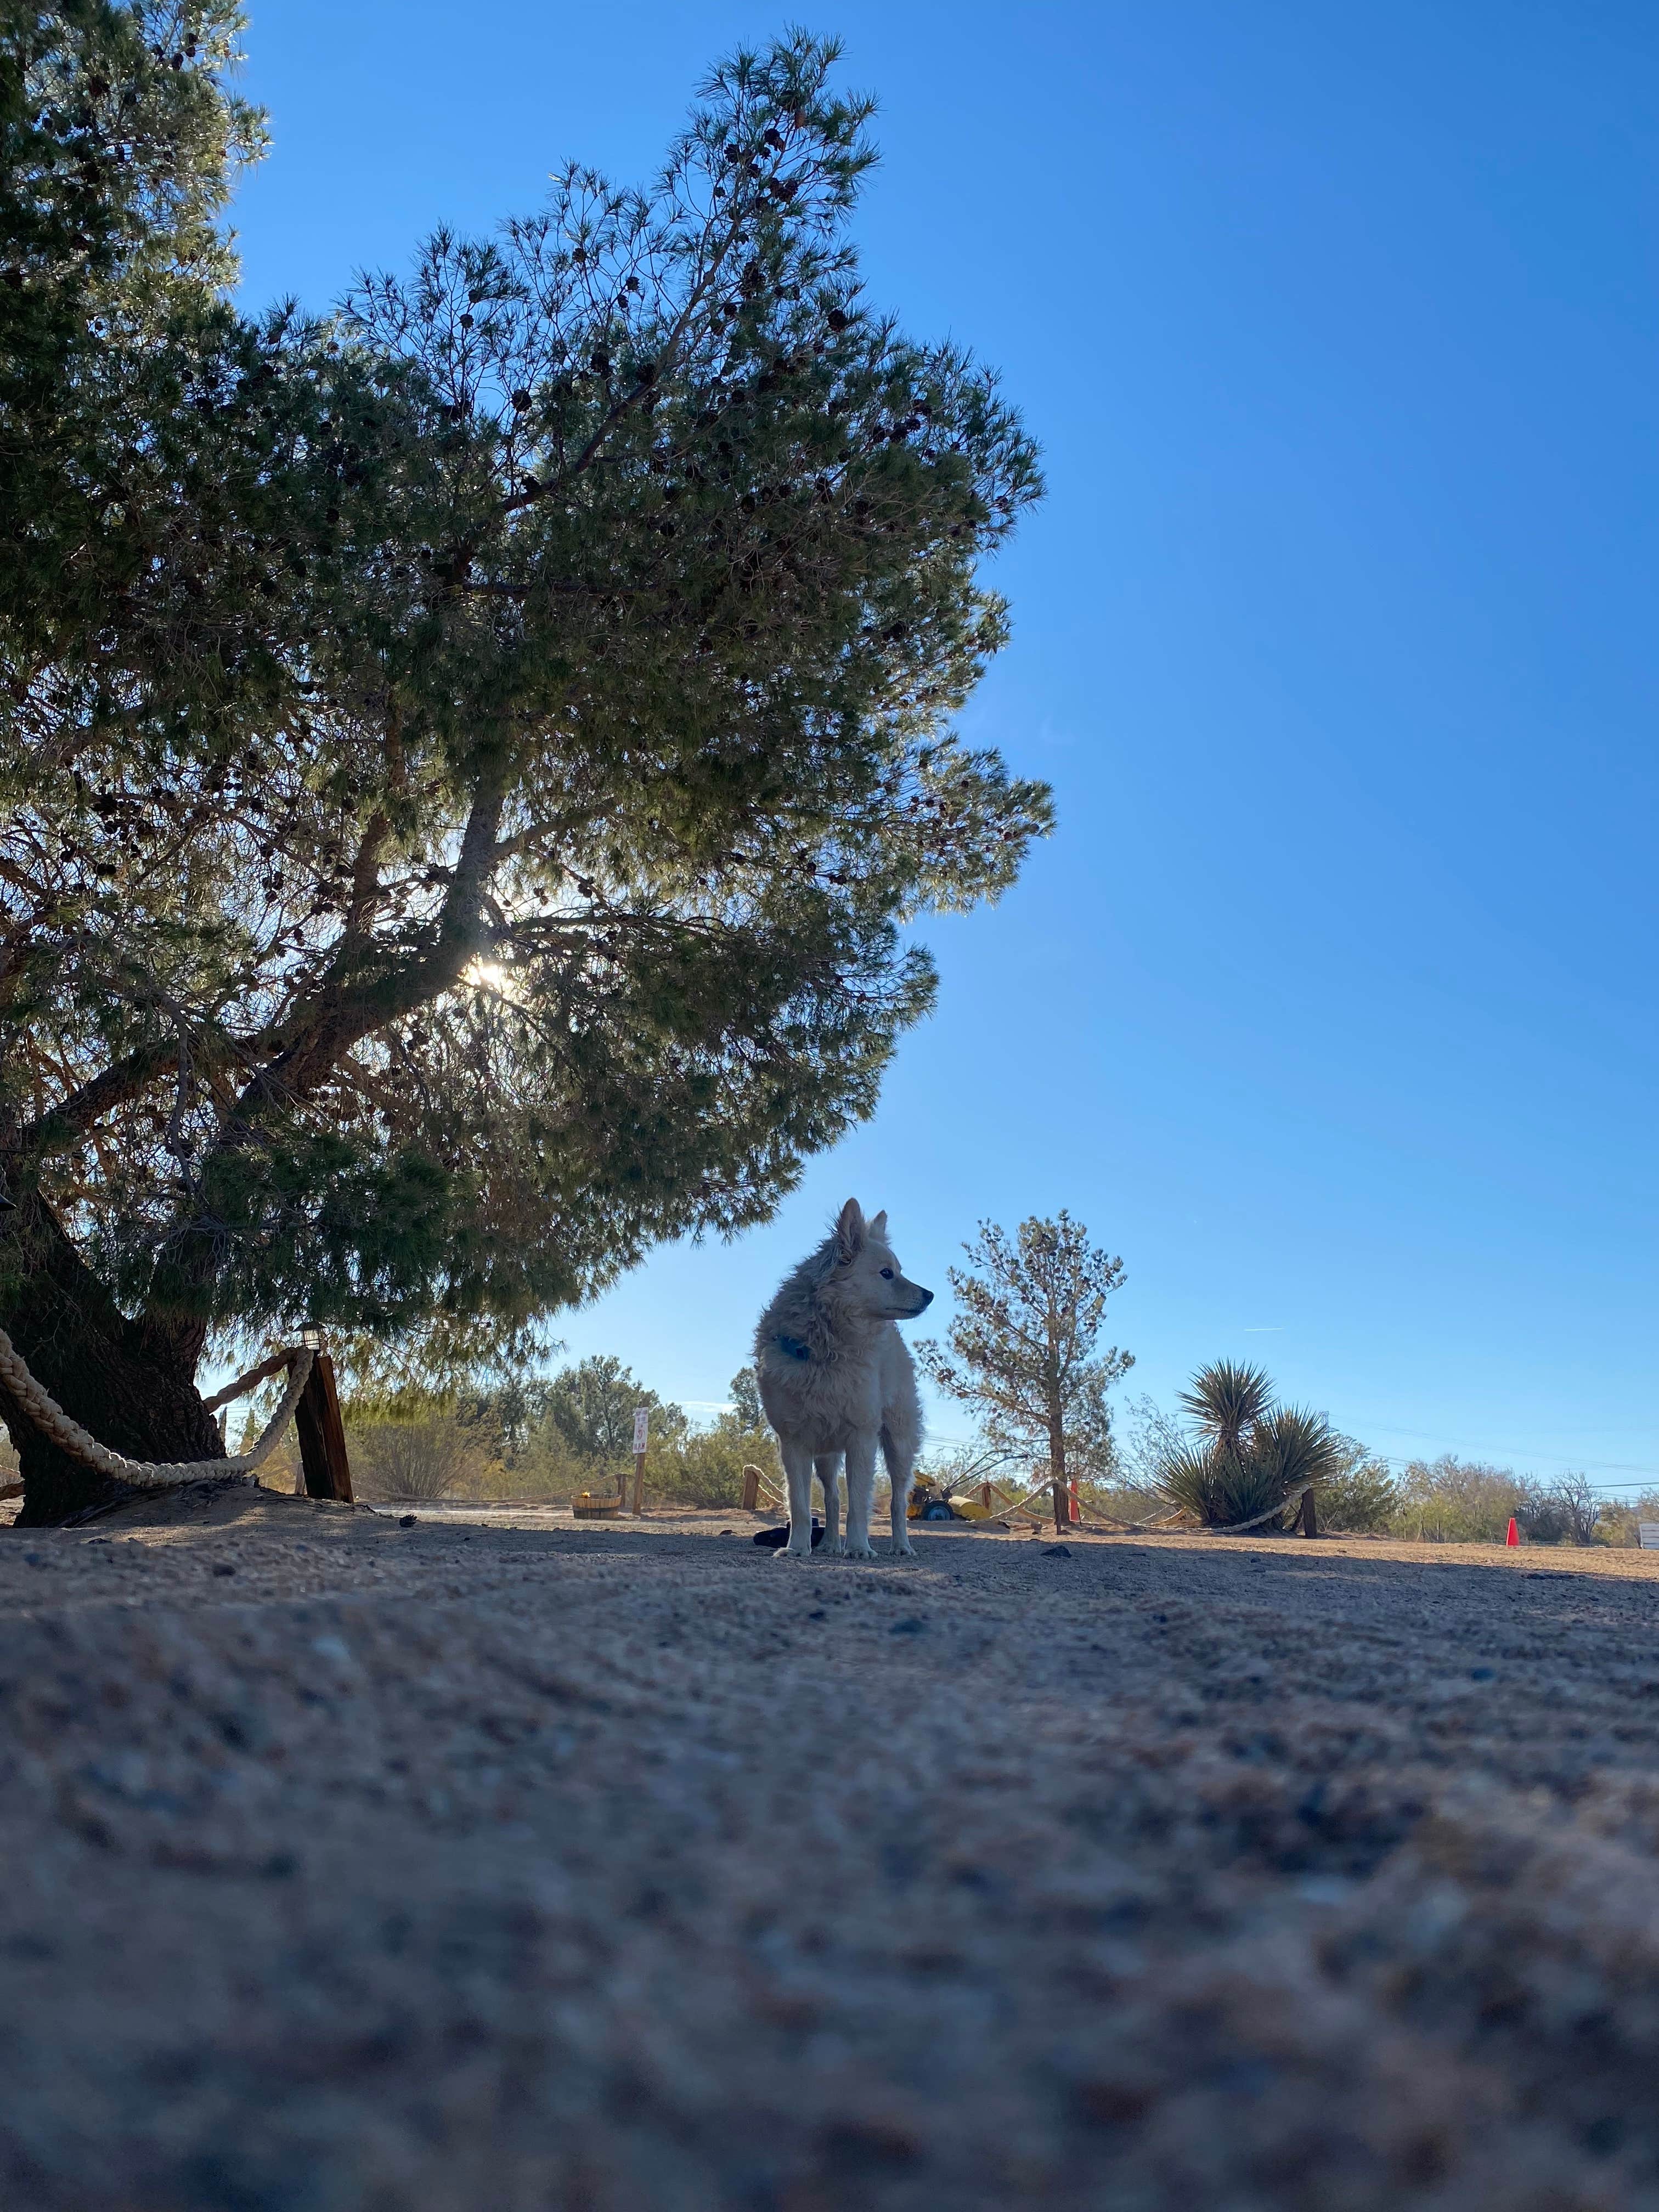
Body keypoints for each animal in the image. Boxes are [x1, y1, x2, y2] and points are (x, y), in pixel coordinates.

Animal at [752, 1203, 938, 1566]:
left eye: (898, 1270)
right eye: (886, 1273)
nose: (930, 1295)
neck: (825, 1348)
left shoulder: (862, 1438)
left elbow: (859, 1504)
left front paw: (859, 1547)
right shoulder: (793, 1444)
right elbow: (800, 1504)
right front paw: (797, 1548)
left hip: (899, 1444)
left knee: (897, 1500)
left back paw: (901, 1546)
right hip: (826, 1455)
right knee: (832, 1498)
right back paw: (828, 1545)